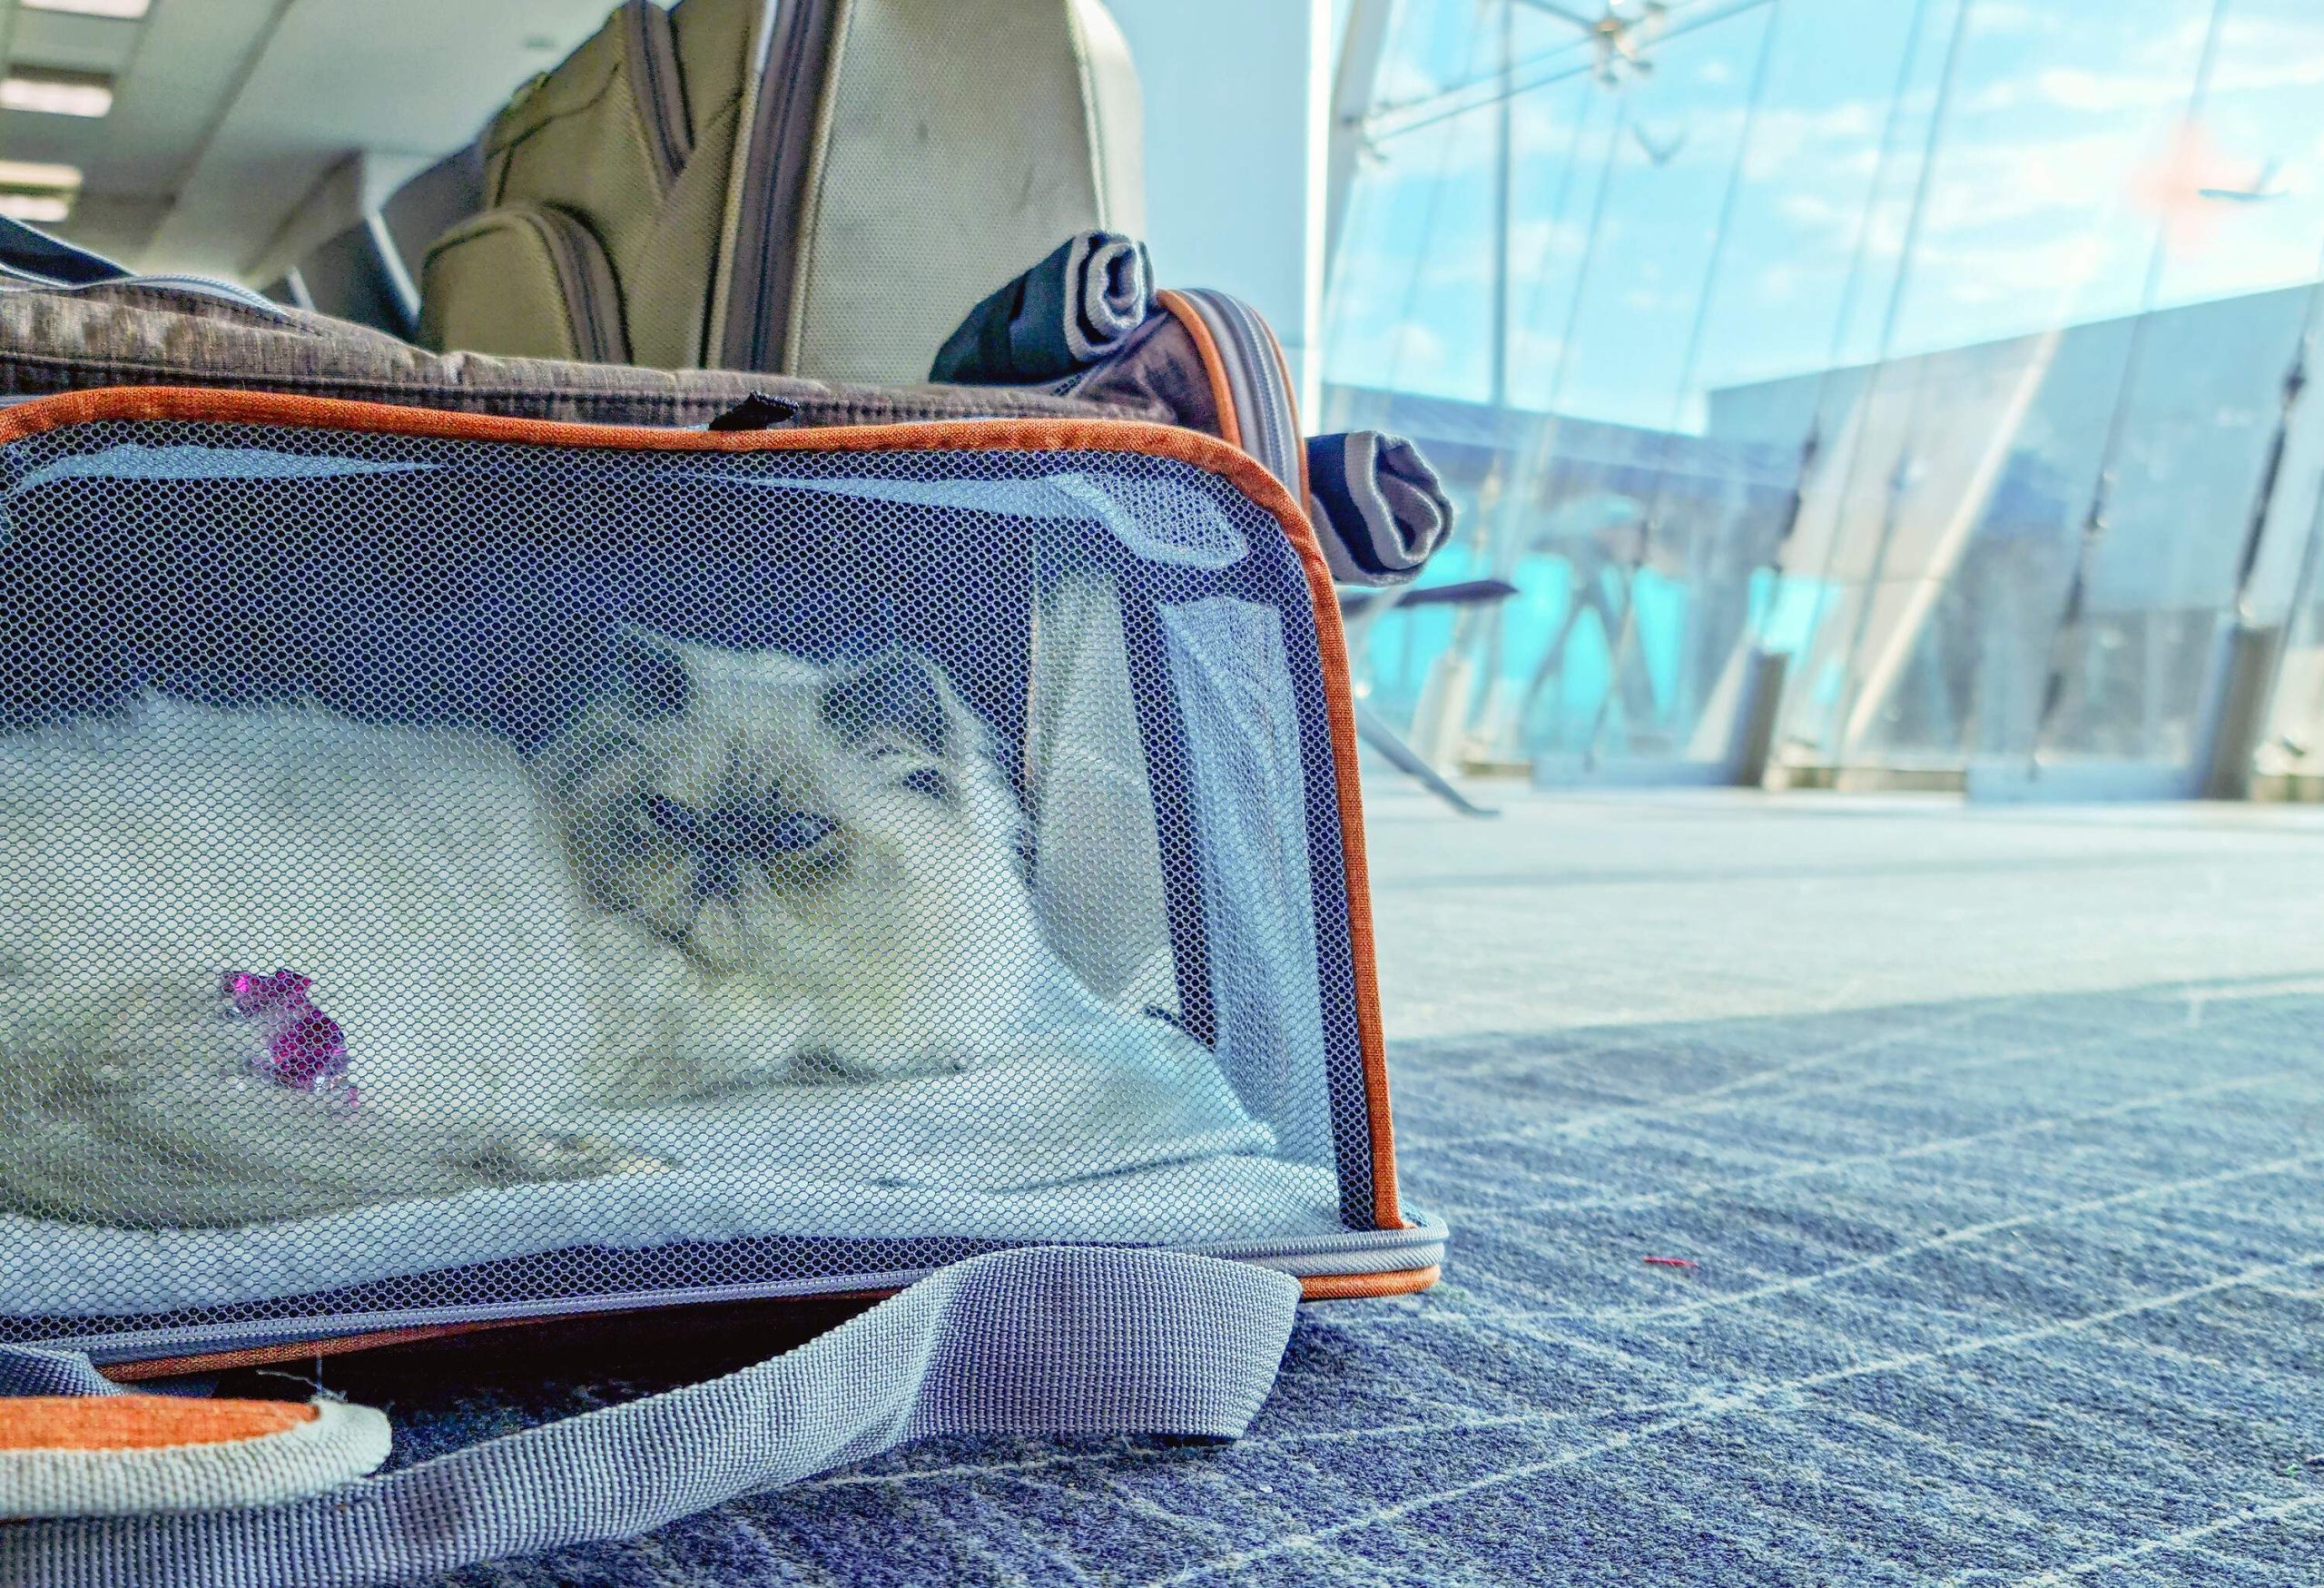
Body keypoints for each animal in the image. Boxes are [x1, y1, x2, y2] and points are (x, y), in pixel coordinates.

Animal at [0, 632, 1064, 1228]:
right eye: (670, 817)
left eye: (797, 834)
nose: (719, 862)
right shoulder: (711, 1041)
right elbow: (818, 1053)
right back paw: (598, 1160)